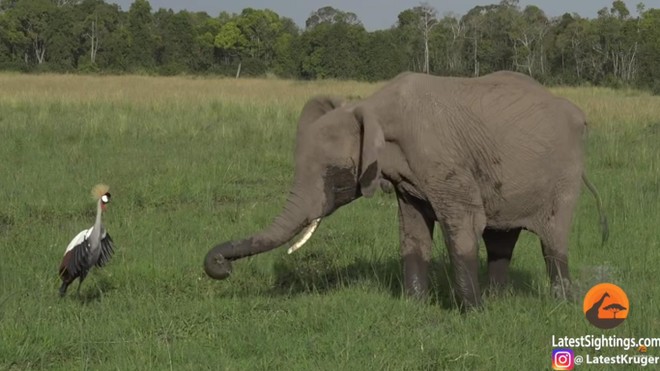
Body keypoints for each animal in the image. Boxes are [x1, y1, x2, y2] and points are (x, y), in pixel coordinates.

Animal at [202, 70, 608, 310]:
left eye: (334, 175)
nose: (222, 267)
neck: (373, 106)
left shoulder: (444, 160)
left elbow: (463, 224)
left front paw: (472, 315)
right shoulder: (408, 178)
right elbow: (412, 229)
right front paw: (414, 307)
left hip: (564, 173)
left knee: (552, 239)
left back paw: (560, 304)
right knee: (500, 238)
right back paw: (499, 300)